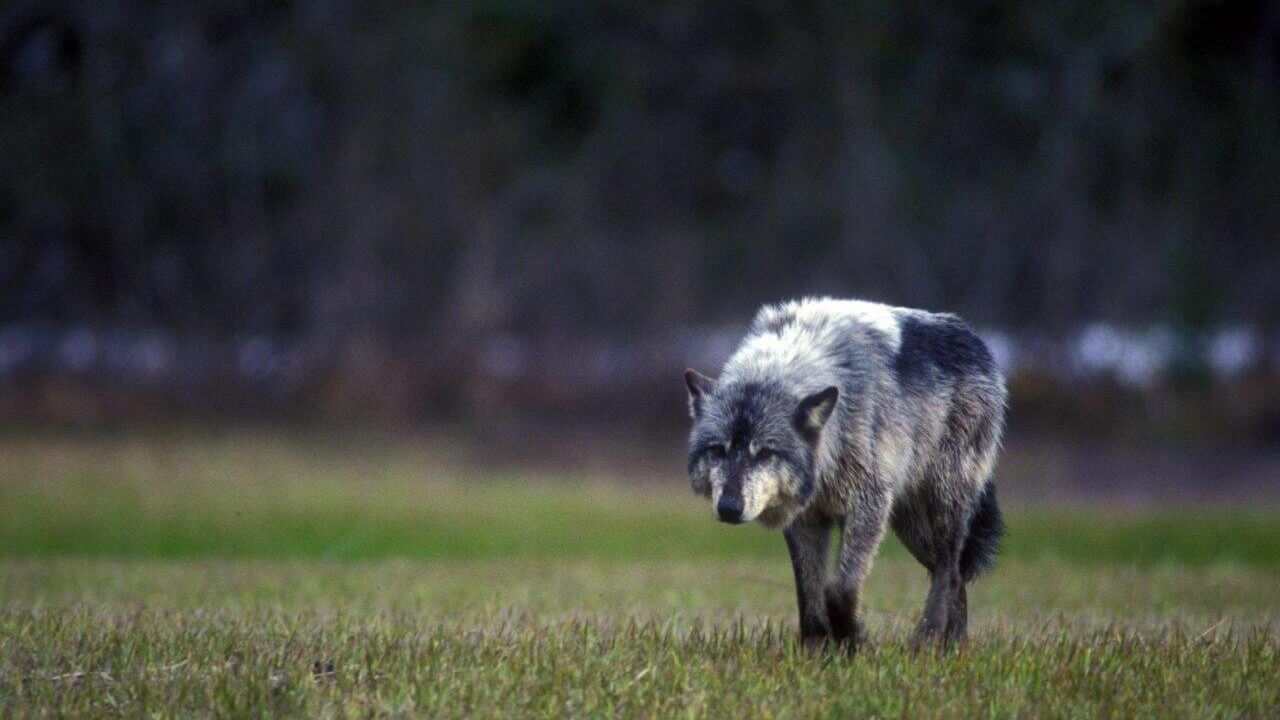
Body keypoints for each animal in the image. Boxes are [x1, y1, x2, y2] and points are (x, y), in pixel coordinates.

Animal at [684, 297, 1006, 649]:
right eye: (718, 450)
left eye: (766, 452)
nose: (729, 508)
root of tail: (973, 339)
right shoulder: (806, 519)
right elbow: (808, 595)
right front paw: (815, 651)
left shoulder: (867, 507)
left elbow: (840, 589)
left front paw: (853, 641)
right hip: (908, 525)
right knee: (954, 576)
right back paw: (953, 649)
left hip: (941, 506)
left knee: (949, 570)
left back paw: (927, 641)